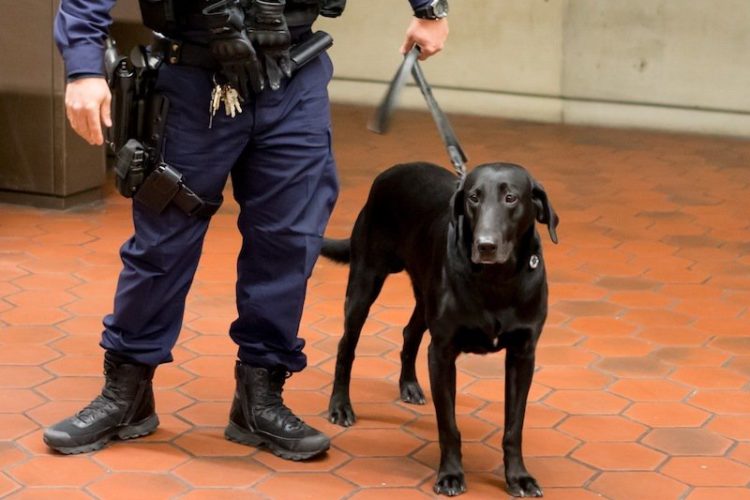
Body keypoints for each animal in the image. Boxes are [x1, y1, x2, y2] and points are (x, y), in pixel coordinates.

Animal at [320, 162, 560, 498]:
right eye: (474, 197)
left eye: (511, 197)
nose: (485, 245)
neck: (497, 281)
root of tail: (393, 170)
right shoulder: (442, 353)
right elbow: (448, 425)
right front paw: (451, 474)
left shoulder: (522, 356)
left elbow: (514, 427)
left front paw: (518, 477)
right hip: (365, 283)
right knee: (347, 345)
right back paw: (340, 406)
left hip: (424, 297)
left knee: (410, 333)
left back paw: (409, 385)